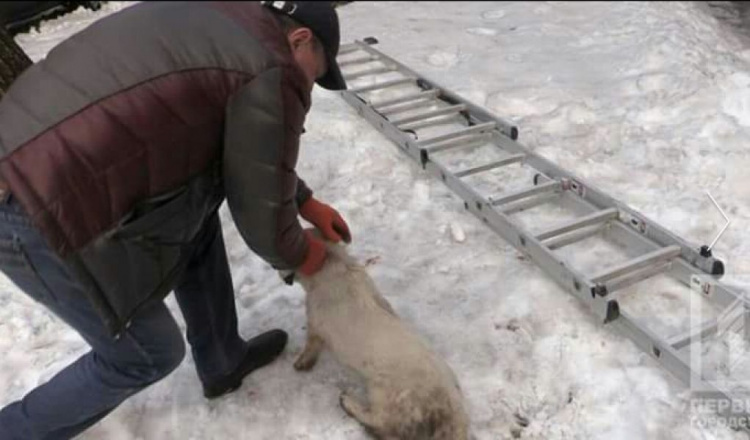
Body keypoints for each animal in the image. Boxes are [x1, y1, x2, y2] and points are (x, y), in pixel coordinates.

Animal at [294, 241, 470, 440]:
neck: (336, 263)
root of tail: (453, 414)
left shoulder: (315, 320)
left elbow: (311, 343)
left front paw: (302, 362)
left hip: (382, 391)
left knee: (379, 421)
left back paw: (348, 402)